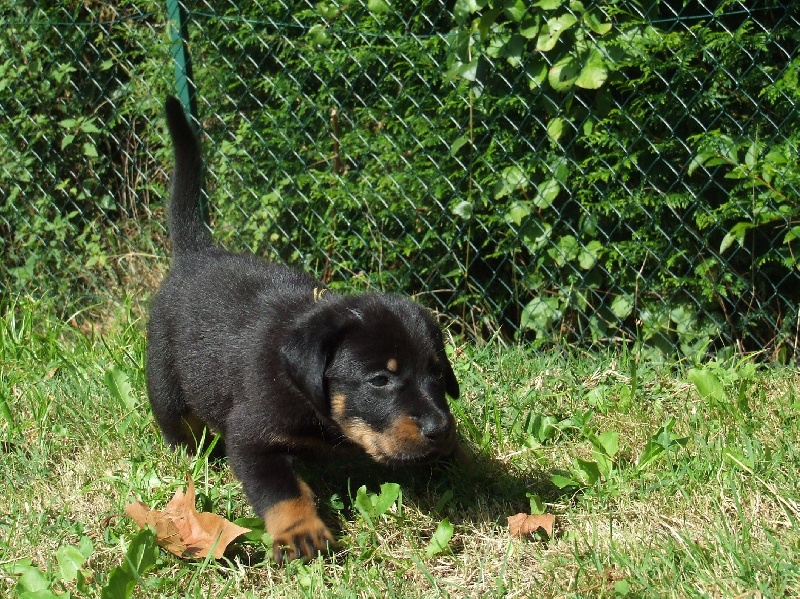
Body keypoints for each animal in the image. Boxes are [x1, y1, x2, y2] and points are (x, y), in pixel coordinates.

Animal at [147, 97, 460, 564]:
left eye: (437, 374)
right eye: (380, 380)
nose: (439, 428)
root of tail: (196, 254)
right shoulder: (252, 436)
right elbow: (282, 490)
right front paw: (301, 533)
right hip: (165, 383)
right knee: (175, 423)